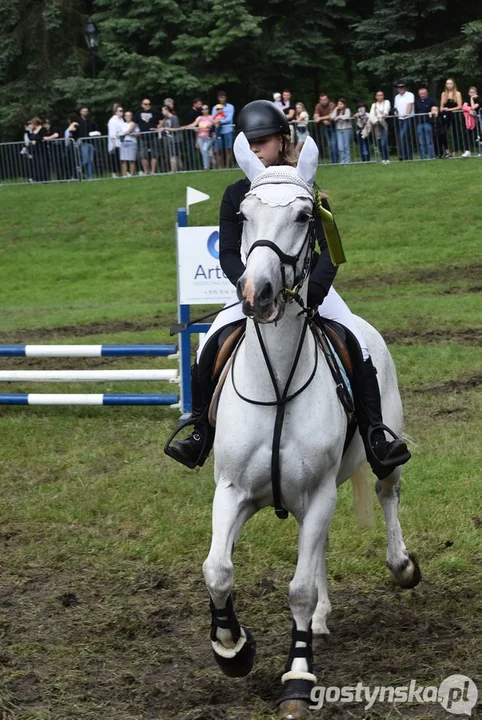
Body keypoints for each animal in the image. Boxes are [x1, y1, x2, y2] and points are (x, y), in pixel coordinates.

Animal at [201, 135, 420, 720]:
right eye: (243, 215)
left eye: (305, 216)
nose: (257, 293)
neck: (278, 380)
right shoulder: (232, 491)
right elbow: (218, 569)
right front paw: (233, 649)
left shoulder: (320, 491)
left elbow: (296, 588)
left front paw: (297, 678)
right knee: (313, 547)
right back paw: (319, 621)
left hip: (375, 455)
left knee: (387, 495)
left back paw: (400, 566)